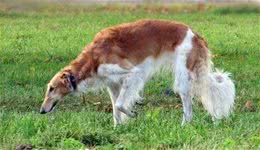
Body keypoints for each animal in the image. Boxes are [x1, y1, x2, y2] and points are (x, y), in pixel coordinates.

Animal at [39, 19, 236, 126]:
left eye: (51, 89)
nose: (41, 111)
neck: (93, 58)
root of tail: (195, 34)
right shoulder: (113, 84)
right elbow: (115, 109)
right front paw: (118, 128)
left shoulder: (132, 73)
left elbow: (120, 105)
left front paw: (133, 114)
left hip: (183, 78)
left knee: (188, 109)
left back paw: (184, 126)